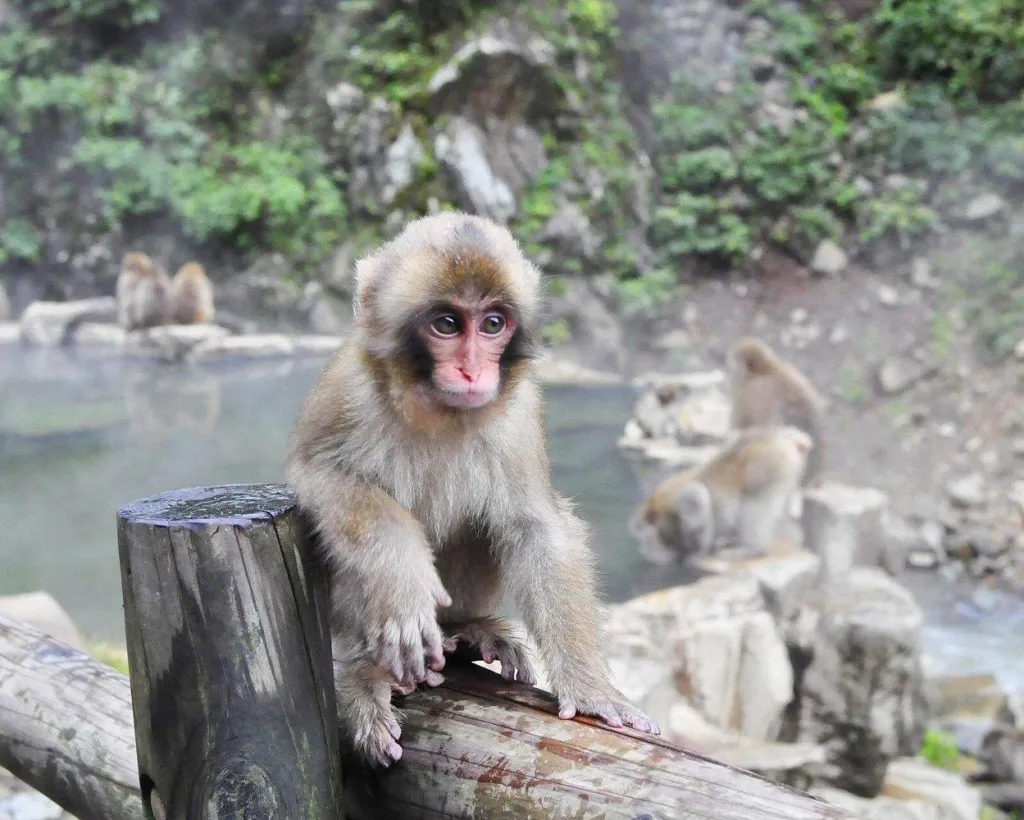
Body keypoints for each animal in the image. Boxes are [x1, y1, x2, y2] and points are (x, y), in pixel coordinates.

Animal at [285, 212, 659, 768]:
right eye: (447, 324)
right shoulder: (348, 386)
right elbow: (321, 476)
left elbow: (535, 527)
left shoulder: (521, 410)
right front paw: (403, 583)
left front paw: (591, 689)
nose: (471, 369)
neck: (437, 408)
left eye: (492, 324)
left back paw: (468, 632)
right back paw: (365, 670)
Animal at [628, 426, 813, 564]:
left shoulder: (677, 508)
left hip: (768, 465)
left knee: (755, 504)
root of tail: (785, 440)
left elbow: (695, 499)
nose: (643, 550)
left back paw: (751, 548)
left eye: (642, 540)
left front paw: (694, 551)